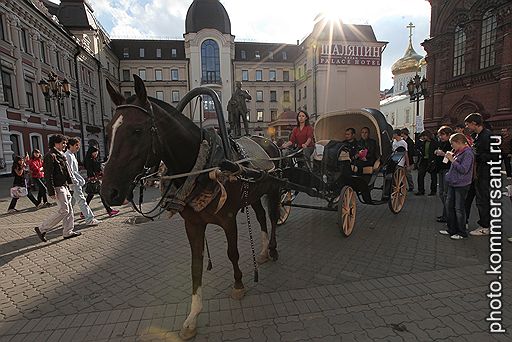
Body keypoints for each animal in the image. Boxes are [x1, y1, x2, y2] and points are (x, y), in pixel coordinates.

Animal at [102, 75, 282, 340]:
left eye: (137, 130)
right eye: (108, 132)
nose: (108, 192)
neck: (204, 166)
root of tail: (269, 142)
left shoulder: (228, 219)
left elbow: (232, 253)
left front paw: (238, 285)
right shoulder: (193, 224)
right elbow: (195, 265)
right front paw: (192, 317)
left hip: (274, 188)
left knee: (273, 216)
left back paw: (272, 248)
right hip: (254, 194)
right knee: (260, 217)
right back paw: (262, 251)